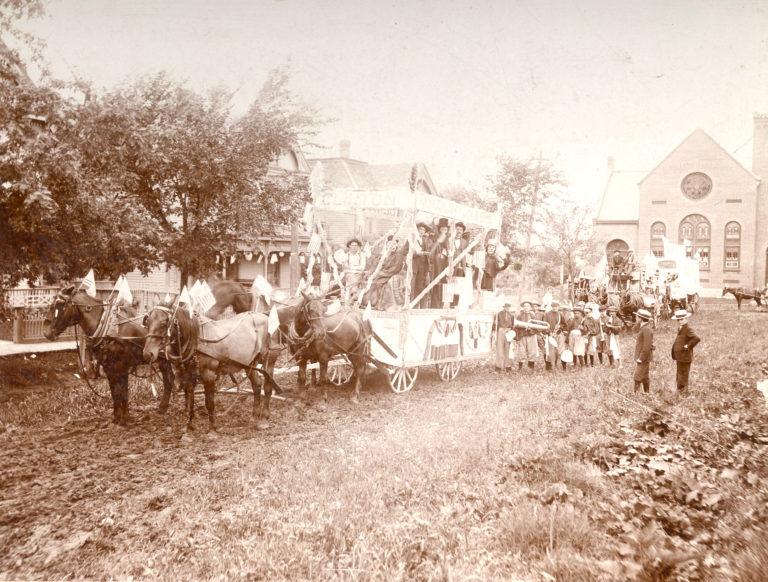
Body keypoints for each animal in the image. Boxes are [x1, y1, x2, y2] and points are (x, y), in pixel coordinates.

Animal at [42, 288, 176, 428]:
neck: (110, 330)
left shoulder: (122, 367)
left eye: (59, 304)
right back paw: (162, 408)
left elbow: (123, 392)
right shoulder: (108, 367)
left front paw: (124, 419)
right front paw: (116, 418)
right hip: (163, 360)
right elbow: (114, 392)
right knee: (169, 379)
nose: (46, 331)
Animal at [142, 304, 280, 432]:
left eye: (164, 322)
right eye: (147, 322)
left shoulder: (209, 375)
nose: (147, 354)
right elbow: (191, 399)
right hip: (250, 363)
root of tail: (265, 317)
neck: (197, 339)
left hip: (269, 360)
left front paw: (212, 428)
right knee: (257, 385)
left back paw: (264, 418)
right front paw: (189, 425)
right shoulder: (189, 375)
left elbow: (209, 402)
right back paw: (255, 416)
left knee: (267, 386)